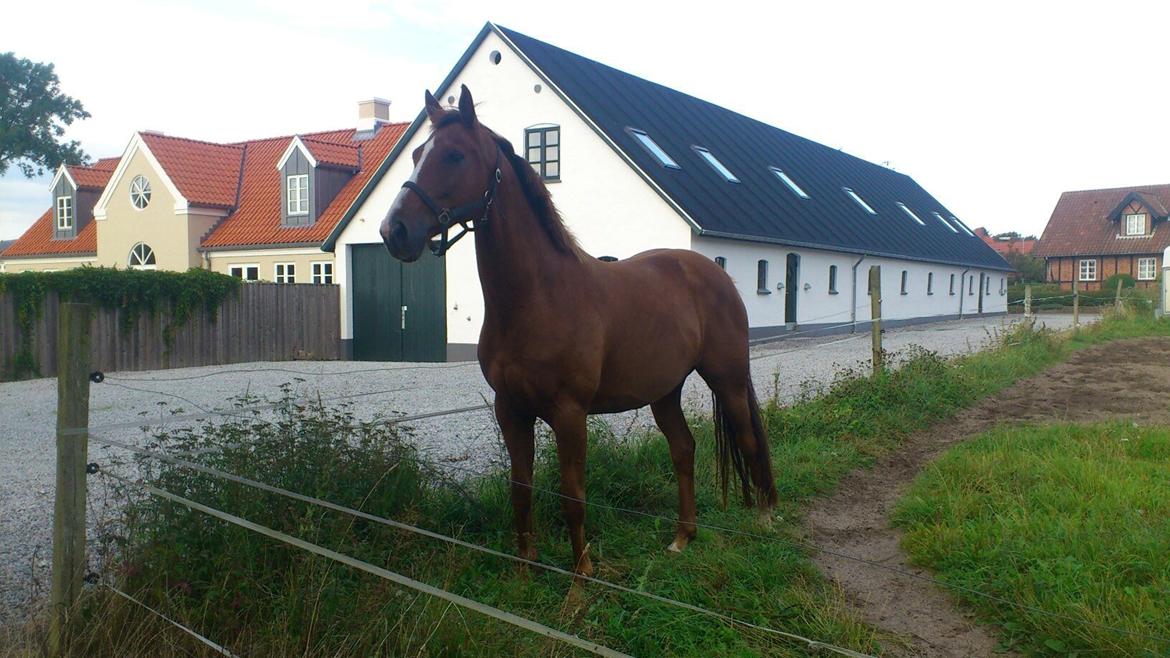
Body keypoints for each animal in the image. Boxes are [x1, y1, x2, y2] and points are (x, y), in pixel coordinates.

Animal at [381, 86, 776, 573]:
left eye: (454, 155)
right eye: (417, 154)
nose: (394, 230)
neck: (536, 298)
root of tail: (716, 272)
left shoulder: (569, 414)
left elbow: (573, 497)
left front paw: (581, 576)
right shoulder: (511, 409)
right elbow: (521, 490)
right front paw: (526, 569)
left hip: (728, 380)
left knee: (749, 440)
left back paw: (764, 520)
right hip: (665, 390)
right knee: (683, 450)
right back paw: (683, 537)